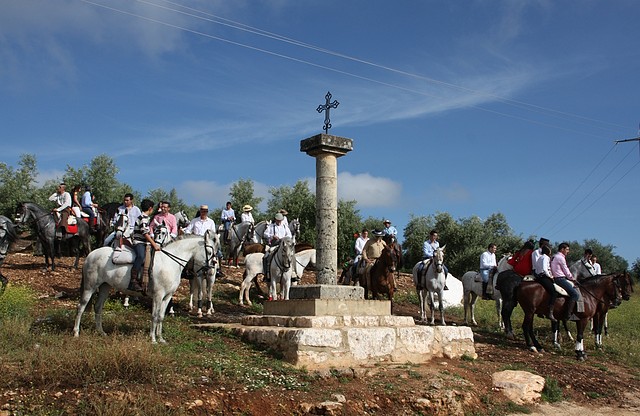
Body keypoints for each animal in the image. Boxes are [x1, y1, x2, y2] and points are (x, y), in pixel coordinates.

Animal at [75, 229, 218, 342]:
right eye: (210, 252)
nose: (213, 267)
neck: (169, 262)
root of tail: (91, 254)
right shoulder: (158, 295)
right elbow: (154, 315)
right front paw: (153, 339)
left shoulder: (167, 296)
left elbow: (161, 316)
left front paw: (161, 339)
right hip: (90, 287)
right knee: (81, 307)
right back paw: (76, 333)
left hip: (105, 286)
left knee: (98, 307)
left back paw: (101, 332)